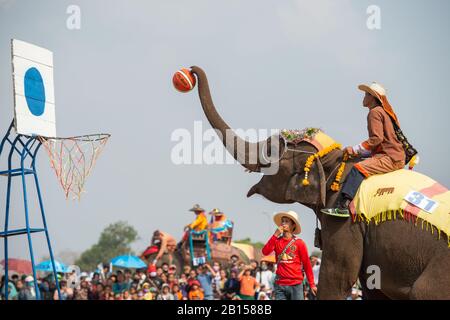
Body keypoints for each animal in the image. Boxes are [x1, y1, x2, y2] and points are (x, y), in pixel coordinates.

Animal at [186, 65, 450, 300]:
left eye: (270, 151)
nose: (191, 72)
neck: (332, 162)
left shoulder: (347, 223)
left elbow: (339, 276)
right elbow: (372, 286)